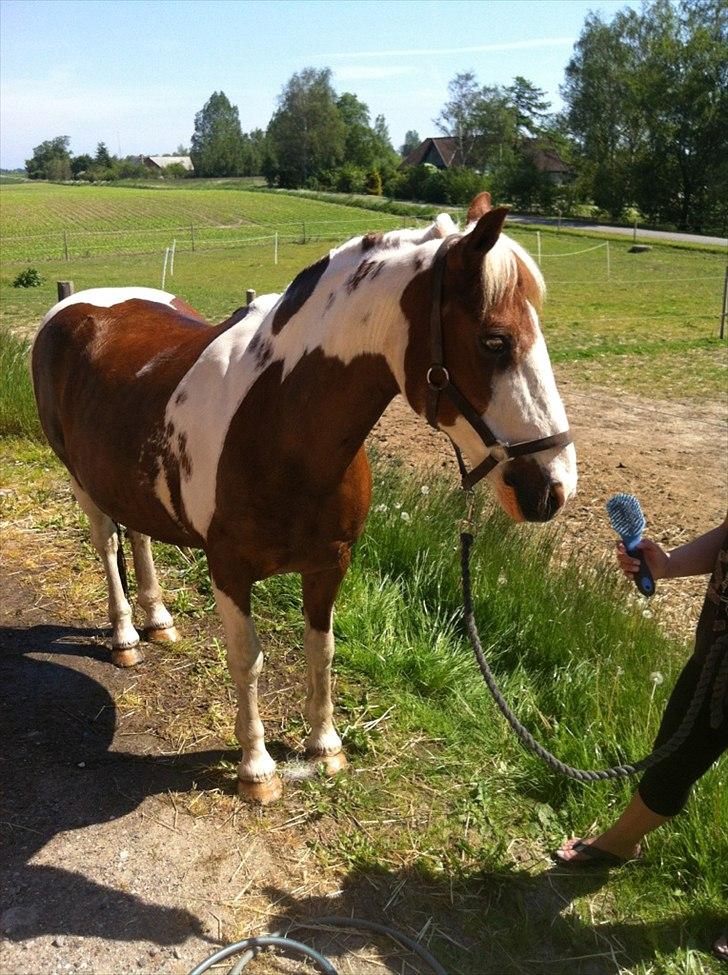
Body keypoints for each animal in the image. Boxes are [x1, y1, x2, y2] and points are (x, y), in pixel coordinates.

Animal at [32, 194, 576, 803]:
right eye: (494, 341)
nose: (553, 487)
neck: (280, 418)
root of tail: (73, 304)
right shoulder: (229, 570)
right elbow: (246, 660)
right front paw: (257, 769)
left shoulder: (329, 564)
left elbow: (322, 649)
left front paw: (325, 745)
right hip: (84, 484)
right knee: (107, 546)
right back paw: (126, 635)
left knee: (139, 535)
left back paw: (159, 620)